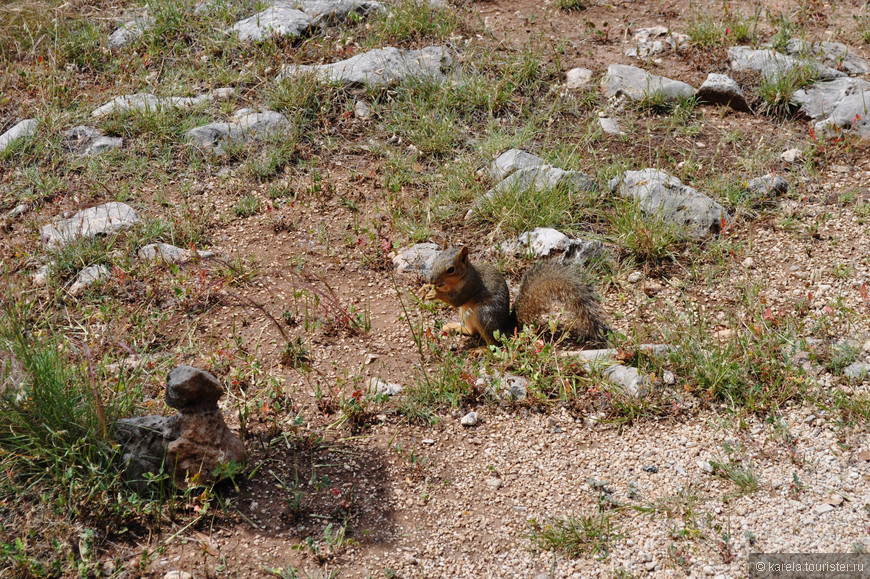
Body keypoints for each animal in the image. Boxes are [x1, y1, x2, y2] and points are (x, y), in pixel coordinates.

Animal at [418, 246, 608, 346]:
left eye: (451, 269)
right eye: (435, 261)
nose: (432, 279)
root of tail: (504, 328)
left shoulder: (470, 285)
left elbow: (456, 300)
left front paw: (434, 293)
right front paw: (425, 288)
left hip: (484, 314)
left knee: (494, 343)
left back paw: (481, 349)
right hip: (466, 314)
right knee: (471, 332)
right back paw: (454, 327)